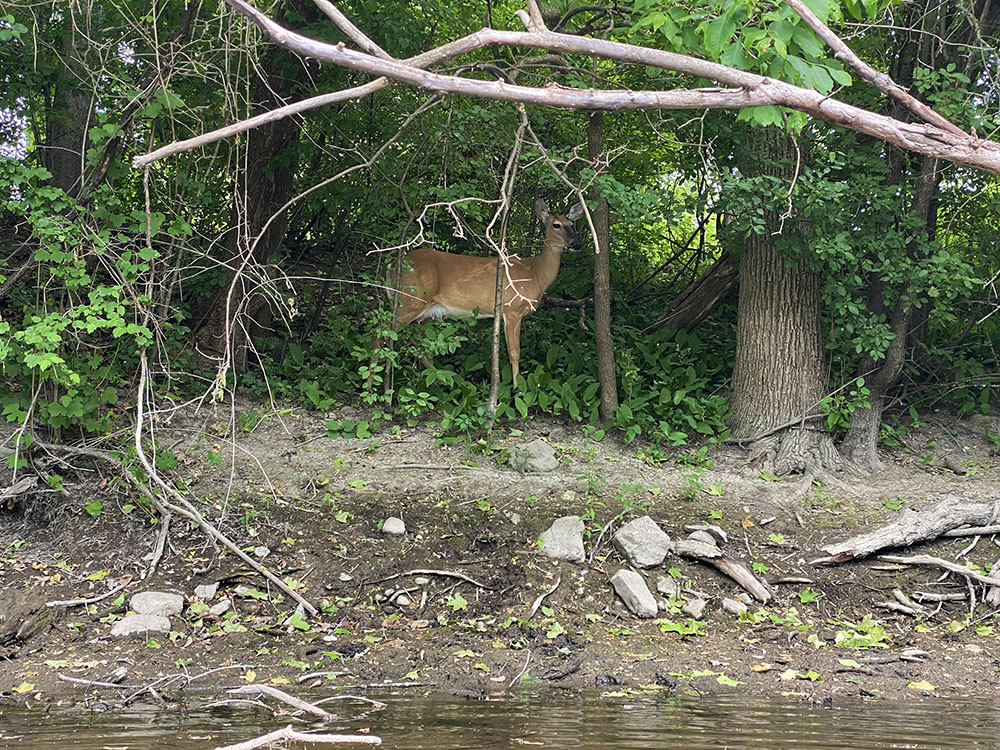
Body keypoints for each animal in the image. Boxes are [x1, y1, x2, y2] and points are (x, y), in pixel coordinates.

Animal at [384, 198, 584, 388]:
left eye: (571, 223)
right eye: (556, 225)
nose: (577, 243)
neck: (535, 272)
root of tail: (391, 266)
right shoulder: (512, 309)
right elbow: (515, 352)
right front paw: (517, 388)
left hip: (425, 314)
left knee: (417, 346)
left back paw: (444, 380)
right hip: (409, 300)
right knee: (383, 333)